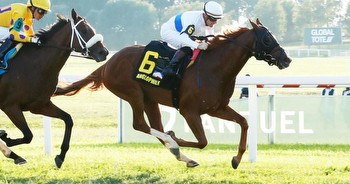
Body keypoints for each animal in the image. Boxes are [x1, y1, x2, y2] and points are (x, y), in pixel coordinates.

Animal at [0, 9, 108, 168]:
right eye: (84, 30)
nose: (104, 52)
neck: (35, 66)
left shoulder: (39, 105)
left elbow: (68, 119)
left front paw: (60, 156)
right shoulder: (10, 106)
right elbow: (28, 135)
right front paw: (5, 138)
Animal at [54, 19, 290, 170]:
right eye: (267, 39)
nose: (286, 60)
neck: (214, 68)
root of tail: (107, 63)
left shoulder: (217, 108)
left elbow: (244, 122)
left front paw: (237, 159)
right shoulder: (189, 111)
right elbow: (202, 141)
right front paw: (176, 138)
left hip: (149, 100)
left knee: (155, 126)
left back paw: (181, 153)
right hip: (133, 94)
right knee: (141, 124)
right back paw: (174, 145)